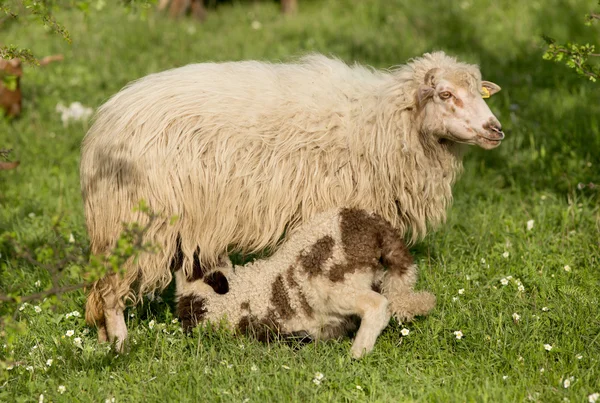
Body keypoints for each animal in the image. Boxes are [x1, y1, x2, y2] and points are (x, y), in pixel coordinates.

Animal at [176, 208, 434, 360]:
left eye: (195, 260)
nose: (180, 243)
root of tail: (372, 225)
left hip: (335, 289)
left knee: (377, 305)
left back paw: (357, 353)